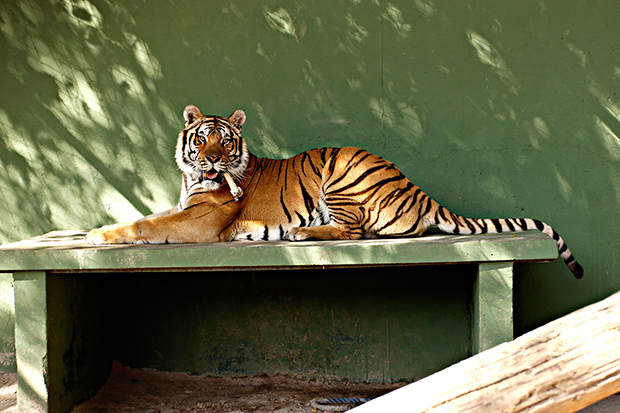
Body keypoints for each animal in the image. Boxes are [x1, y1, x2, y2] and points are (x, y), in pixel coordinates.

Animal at [85, 104, 584, 278]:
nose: (210, 160)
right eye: (204, 138)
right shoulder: (183, 209)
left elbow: (141, 225)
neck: (192, 179)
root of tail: (417, 189)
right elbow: (146, 216)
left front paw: (94, 235)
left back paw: (300, 234)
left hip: (342, 174)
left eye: (225, 142)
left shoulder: (198, 223)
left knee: (357, 231)